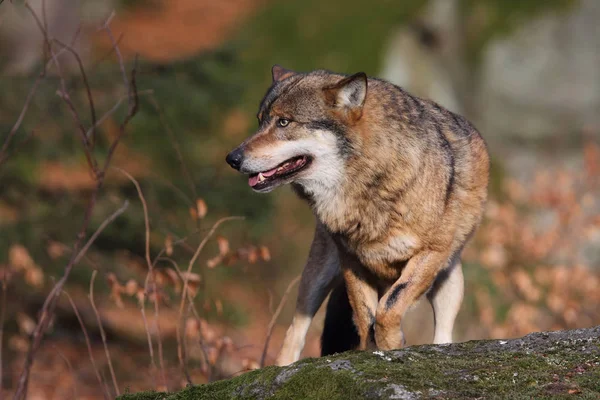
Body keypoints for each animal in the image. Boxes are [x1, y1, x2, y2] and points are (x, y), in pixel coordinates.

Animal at [227, 65, 490, 366]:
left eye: (284, 122)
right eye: (260, 121)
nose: (232, 158)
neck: (367, 185)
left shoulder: (430, 254)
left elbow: (388, 308)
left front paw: (392, 345)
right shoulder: (351, 261)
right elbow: (367, 318)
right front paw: (373, 349)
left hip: (449, 279)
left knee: (443, 332)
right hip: (317, 276)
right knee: (295, 329)